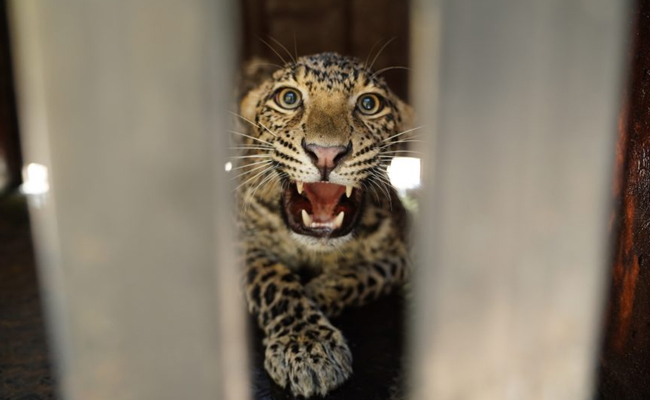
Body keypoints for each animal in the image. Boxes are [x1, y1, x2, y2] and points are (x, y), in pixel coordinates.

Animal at [234, 52, 414, 398]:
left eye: (369, 104)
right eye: (289, 98)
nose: (326, 154)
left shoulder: (404, 248)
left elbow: (373, 273)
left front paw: (320, 290)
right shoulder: (241, 243)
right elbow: (272, 280)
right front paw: (307, 347)